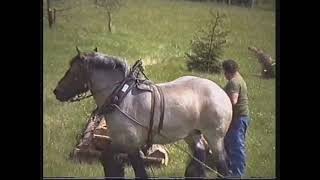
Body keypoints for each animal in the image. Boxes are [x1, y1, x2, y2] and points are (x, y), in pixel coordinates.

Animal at [53, 47, 232, 178]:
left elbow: (138, 171)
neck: (122, 97)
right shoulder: (120, 141)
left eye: (73, 72)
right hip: (191, 133)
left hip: (215, 137)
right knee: (200, 152)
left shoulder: (130, 143)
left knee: (222, 164)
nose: (57, 91)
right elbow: (108, 159)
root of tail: (222, 93)